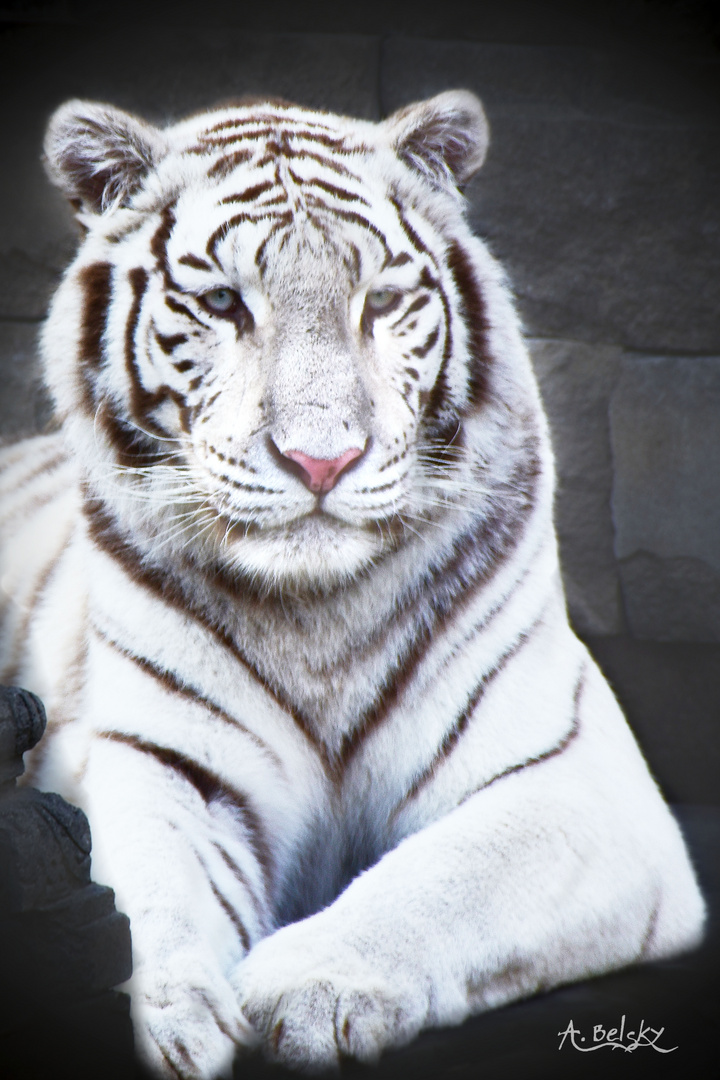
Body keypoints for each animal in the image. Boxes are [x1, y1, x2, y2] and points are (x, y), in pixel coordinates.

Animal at [0, 92, 703, 1080]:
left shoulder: (576, 781)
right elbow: (150, 887)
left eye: (383, 301)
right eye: (223, 303)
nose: (321, 460)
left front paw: (310, 986)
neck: (317, 615)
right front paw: (169, 1016)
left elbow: (447, 881)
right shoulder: (154, 759)